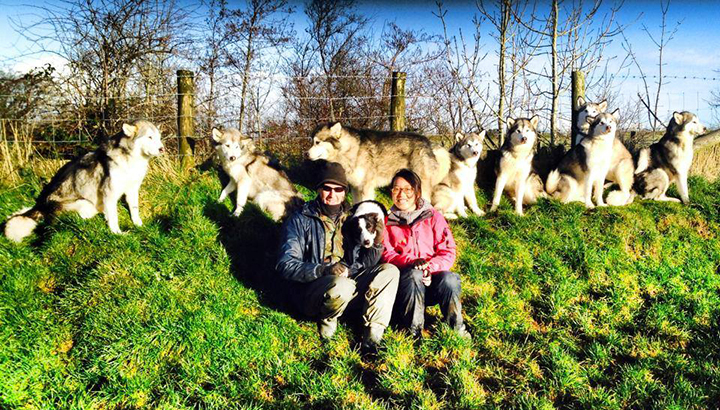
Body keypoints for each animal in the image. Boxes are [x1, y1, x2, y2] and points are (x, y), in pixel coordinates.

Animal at [4, 119, 165, 240]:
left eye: (158, 138)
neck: (130, 159)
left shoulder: (132, 190)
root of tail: (41, 206)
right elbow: (114, 218)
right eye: (149, 137)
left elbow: (134, 211)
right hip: (84, 204)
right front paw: (117, 233)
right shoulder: (109, 193)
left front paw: (139, 225)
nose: (162, 149)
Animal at [306, 122, 450, 204]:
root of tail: (428, 142)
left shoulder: (366, 187)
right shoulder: (356, 188)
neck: (351, 150)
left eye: (317, 142)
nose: (306, 154)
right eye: (311, 142)